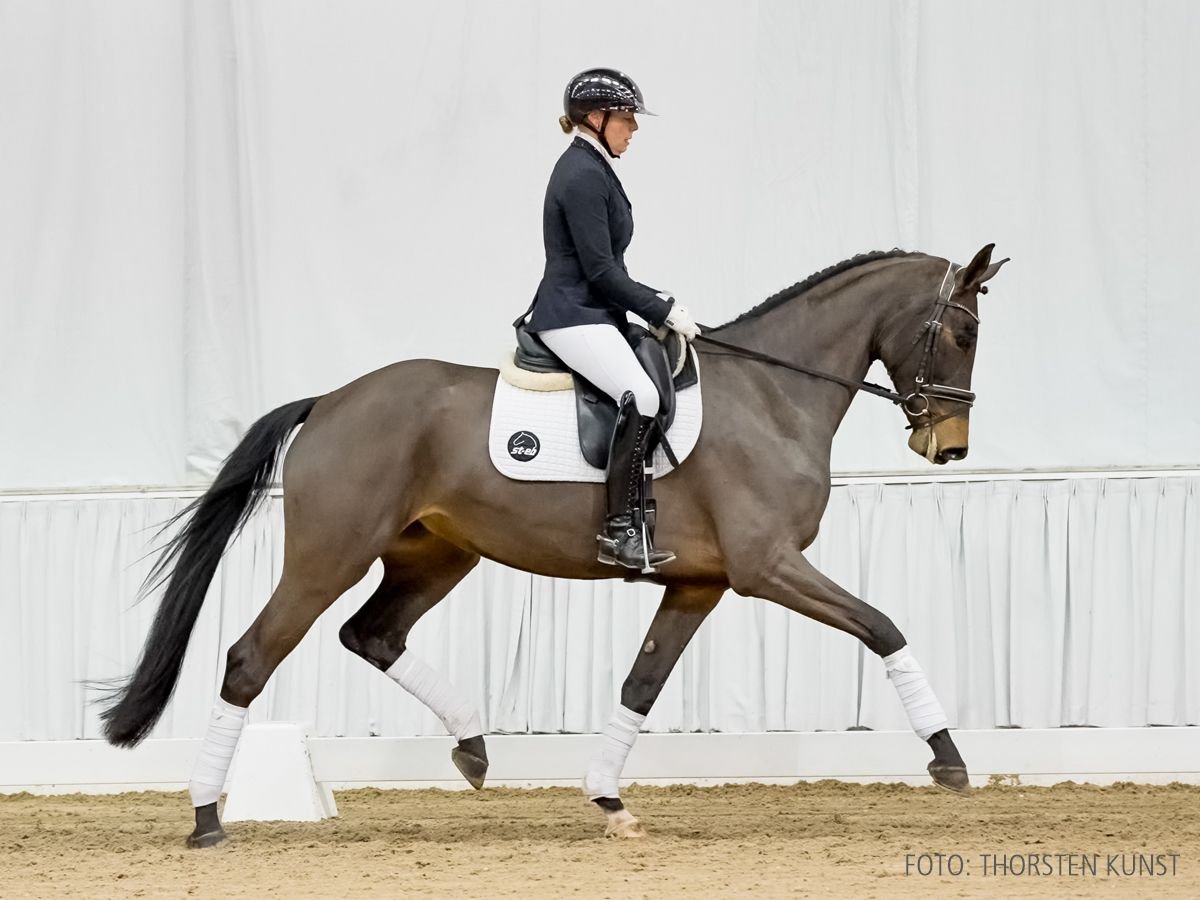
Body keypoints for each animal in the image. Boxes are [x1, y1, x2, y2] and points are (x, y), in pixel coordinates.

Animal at [103, 241, 1008, 844]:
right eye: (964, 333)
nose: (949, 447)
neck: (772, 393)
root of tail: (328, 401)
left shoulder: (701, 583)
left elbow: (641, 684)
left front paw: (607, 797)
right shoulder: (767, 566)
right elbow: (884, 627)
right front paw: (949, 760)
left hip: (436, 554)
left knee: (373, 634)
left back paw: (473, 748)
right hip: (330, 555)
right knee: (251, 658)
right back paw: (206, 818)